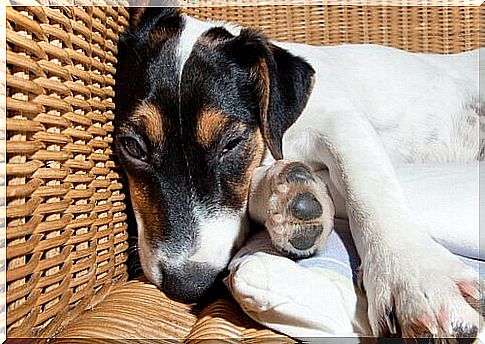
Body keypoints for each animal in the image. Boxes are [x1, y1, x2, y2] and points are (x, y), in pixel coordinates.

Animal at [112, 6, 480, 338]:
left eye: (231, 143)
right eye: (132, 146)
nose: (188, 285)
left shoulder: (342, 123)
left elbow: (366, 184)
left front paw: (415, 275)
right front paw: (292, 197)